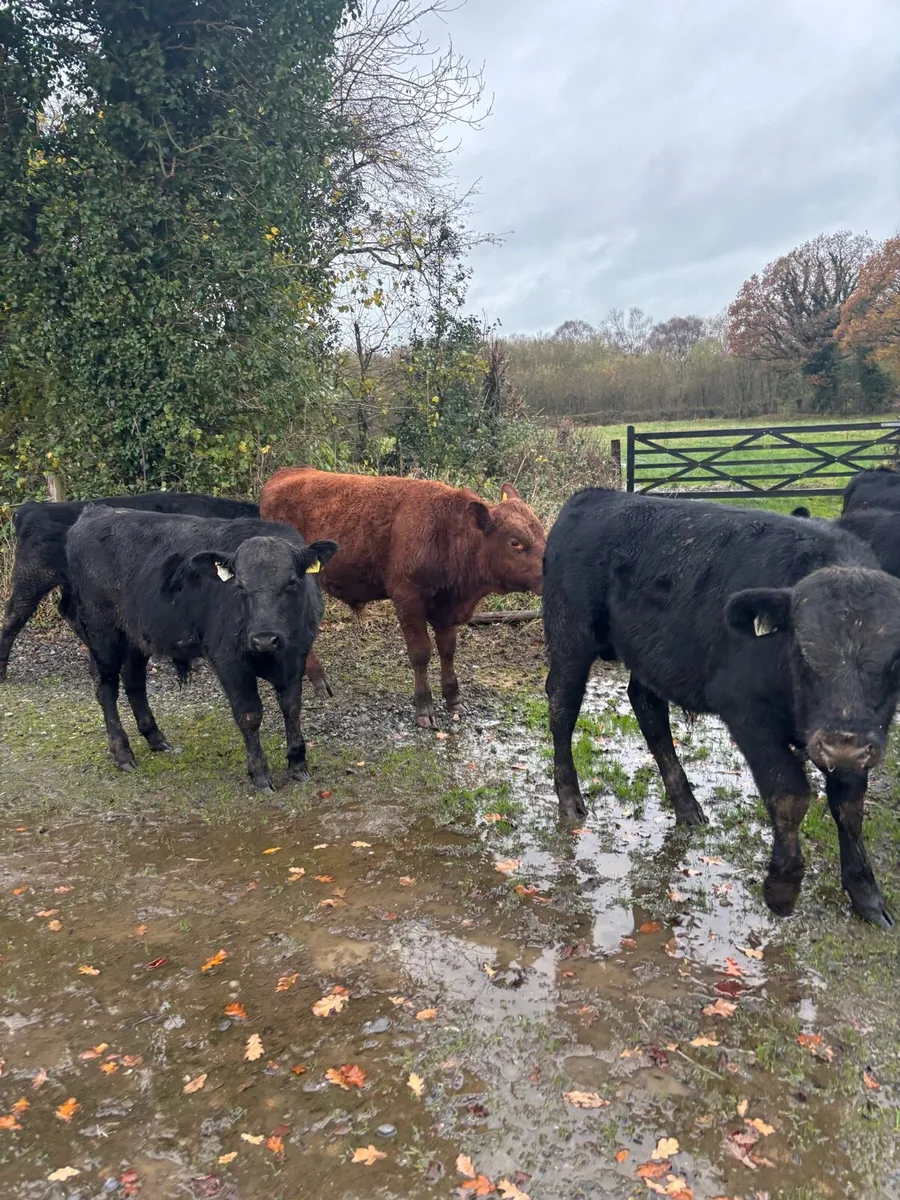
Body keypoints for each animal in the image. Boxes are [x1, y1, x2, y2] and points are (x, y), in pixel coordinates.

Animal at [0, 490, 331, 698]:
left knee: (67, 610)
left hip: (71, 587)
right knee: (13, 616)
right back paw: (3, 671)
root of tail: (31, 508)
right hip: (32, 577)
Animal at [65, 507, 337, 792]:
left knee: (134, 682)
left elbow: (292, 707)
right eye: (239, 586)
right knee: (106, 688)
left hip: (135, 637)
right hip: (102, 631)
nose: (264, 639)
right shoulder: (229, 660)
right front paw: (260, 773)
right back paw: (122, 752)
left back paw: (155, 738)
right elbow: (249, 714)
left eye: (292, 583)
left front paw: (297, 763)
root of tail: (98, 511)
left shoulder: (296, 656)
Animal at [260, 467, 546, 726]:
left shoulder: (447, 609)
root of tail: (286, 473)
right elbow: (420, 652)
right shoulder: (408, 599)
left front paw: (454, 699)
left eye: (542, 531)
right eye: (515, 542)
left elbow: (448, 650)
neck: (446, 533)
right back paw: (316, 679)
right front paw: (424, 707)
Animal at [543, 488, 900, 928]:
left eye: (896, 660)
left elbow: (850, 806)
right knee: (562, 707)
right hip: (570, 638)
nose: (841, 745)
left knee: (648, 708)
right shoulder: (747, 711)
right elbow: (791, 793)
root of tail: (594, 496)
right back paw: (570, 799)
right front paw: (782, 889)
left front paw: (866, 895)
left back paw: (686, 805)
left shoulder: (863, 735)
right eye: (802, 650)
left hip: (651, 654)